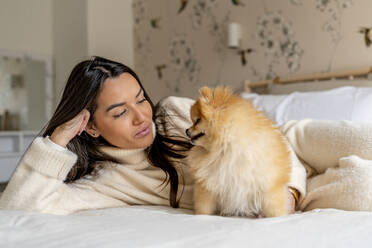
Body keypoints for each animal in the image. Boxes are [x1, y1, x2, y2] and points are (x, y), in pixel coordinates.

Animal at [186, 86, 290, 217]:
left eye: (197, 121)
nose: (186, 130)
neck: (225, 149)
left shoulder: (268, 186)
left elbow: (275, 209)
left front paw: (278, 217)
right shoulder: (208, 185)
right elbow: (204, 207)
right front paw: (200, 216)